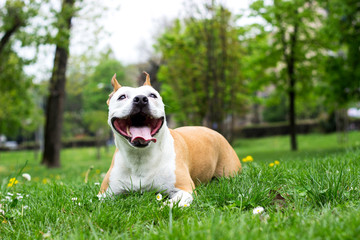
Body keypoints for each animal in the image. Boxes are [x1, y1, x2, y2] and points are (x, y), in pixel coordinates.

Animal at [97, 72, 242, 206]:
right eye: (122, 97)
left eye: (152, 95)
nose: (141, 99)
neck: (140, 156)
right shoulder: (104, 194)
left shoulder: (185, 190)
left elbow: (171, 204)